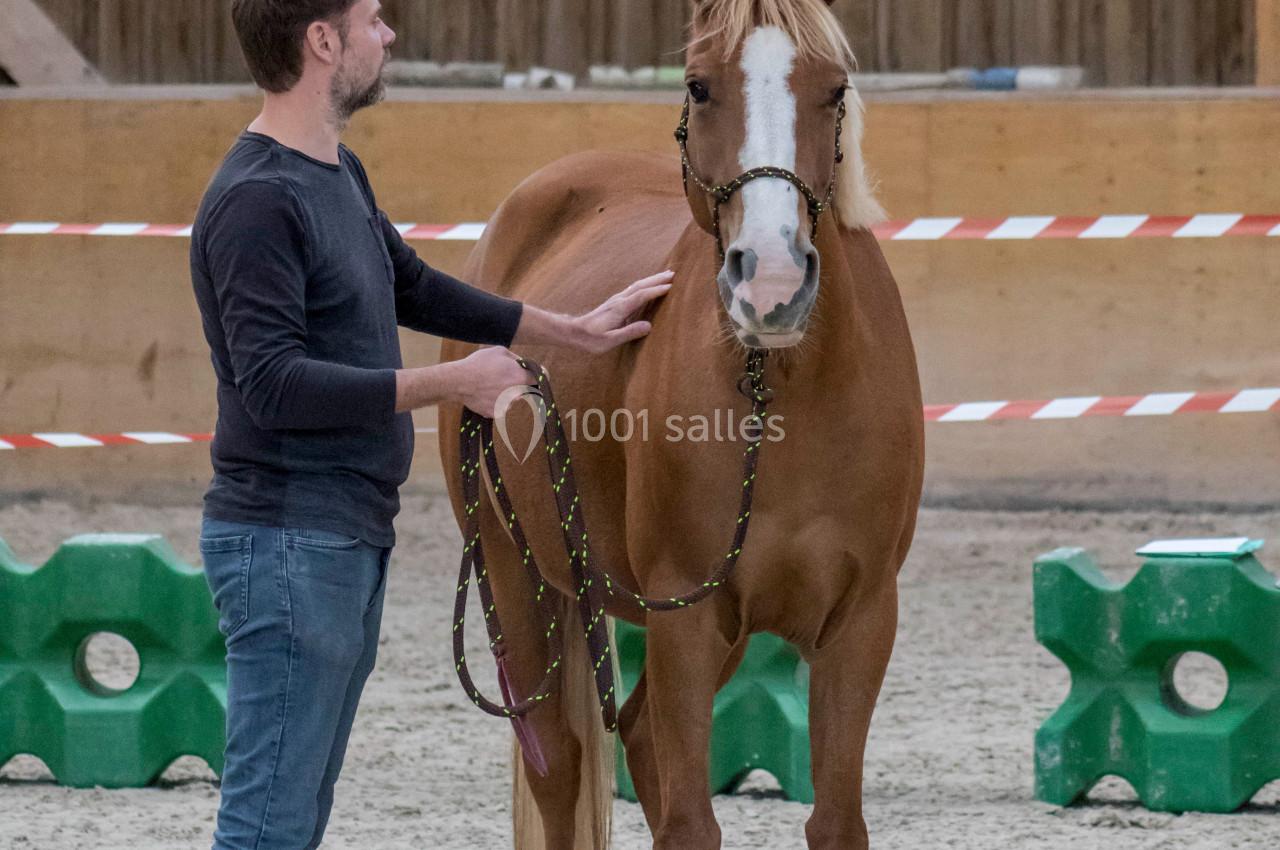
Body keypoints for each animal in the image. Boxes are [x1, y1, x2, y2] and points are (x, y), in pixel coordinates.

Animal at [437, 1, 924, 847]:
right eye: (698, 86)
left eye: (835, 90)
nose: (772, 282)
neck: (783, 391)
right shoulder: (686, 620)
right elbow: (693, 821)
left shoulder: (862, 623)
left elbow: (835, 821)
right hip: (510, 569)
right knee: (559, 765)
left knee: (631, 734)